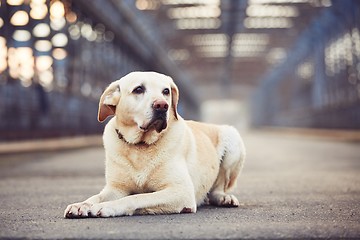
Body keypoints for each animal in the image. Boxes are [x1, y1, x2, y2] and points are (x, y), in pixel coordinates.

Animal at [64, 71, 245, 218]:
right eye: (138, 89)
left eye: (166, 91)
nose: (162, 105)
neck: (140, 146)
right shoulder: (115, 188)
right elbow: (97, 197)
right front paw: (82, 205)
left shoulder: (181, 191)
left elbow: (136, 197)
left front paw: (107, 207)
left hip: (232, 139)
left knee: (218, 188)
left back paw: (224, 198)